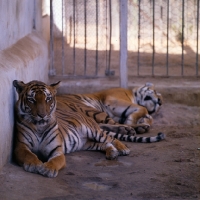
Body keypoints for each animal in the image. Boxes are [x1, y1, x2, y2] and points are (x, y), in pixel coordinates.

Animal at [13, 80, 165, 177]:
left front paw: (144, 120)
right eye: (156, 91)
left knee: (106, 131)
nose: (160, 101)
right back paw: (133, 129)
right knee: (107, 127)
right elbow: (142, 109)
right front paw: (136, 121)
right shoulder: (114, 100)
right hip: (92, 111)